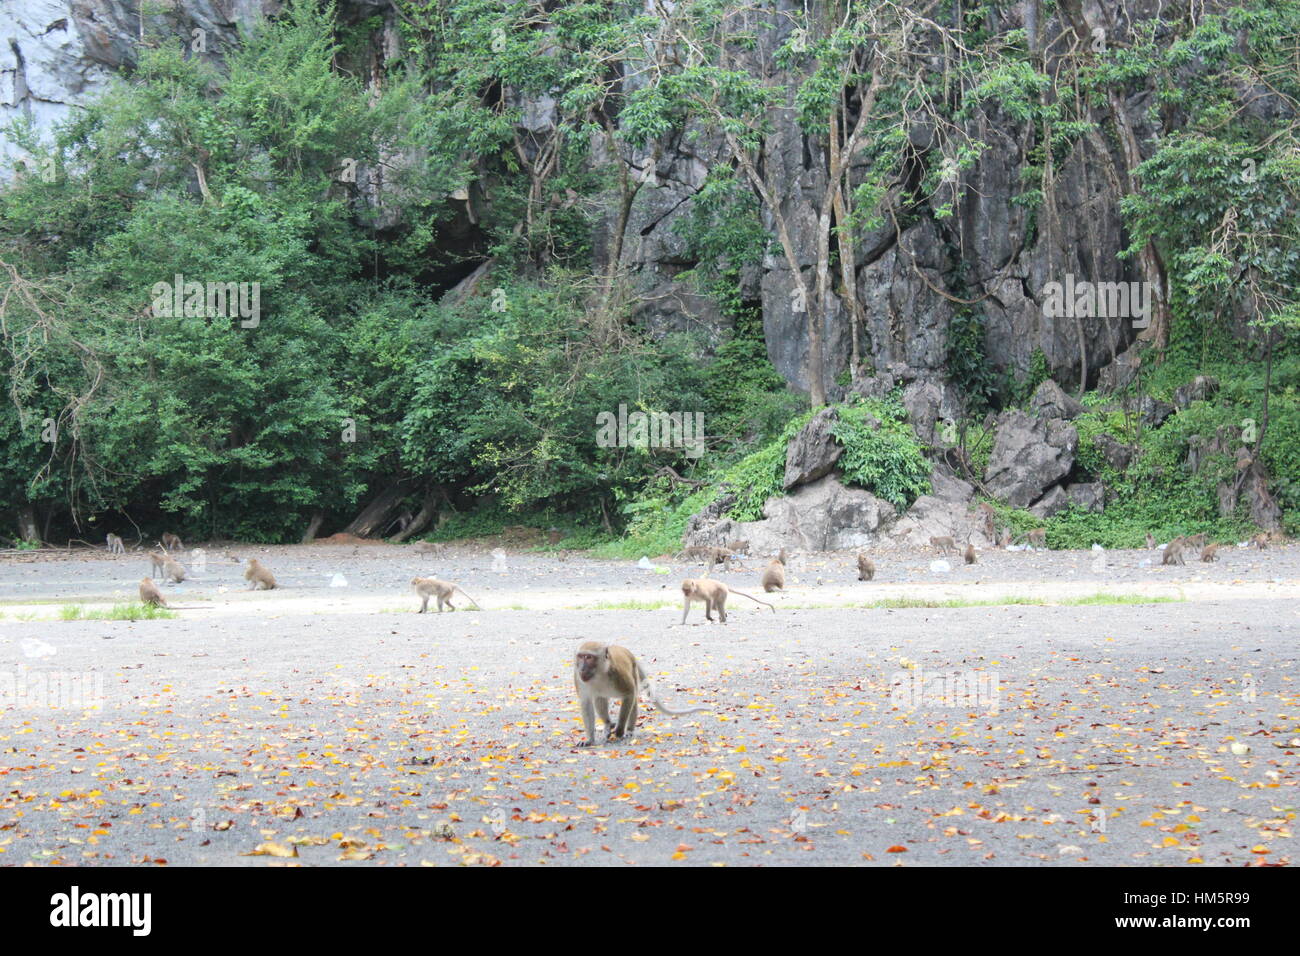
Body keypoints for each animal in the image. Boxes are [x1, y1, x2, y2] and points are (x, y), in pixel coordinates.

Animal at [573, 641, 707, 747]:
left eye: (588, 657)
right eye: (580, 656)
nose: (582, 668)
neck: (599, 673)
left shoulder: (617, 674)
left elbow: (629, 694)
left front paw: (620, 731)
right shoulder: (578, 677)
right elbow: (586, 703)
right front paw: (589, 740)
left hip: (633, 671)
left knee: (632, 701)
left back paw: (629, 730)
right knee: (599, 698)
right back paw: (607, 724)